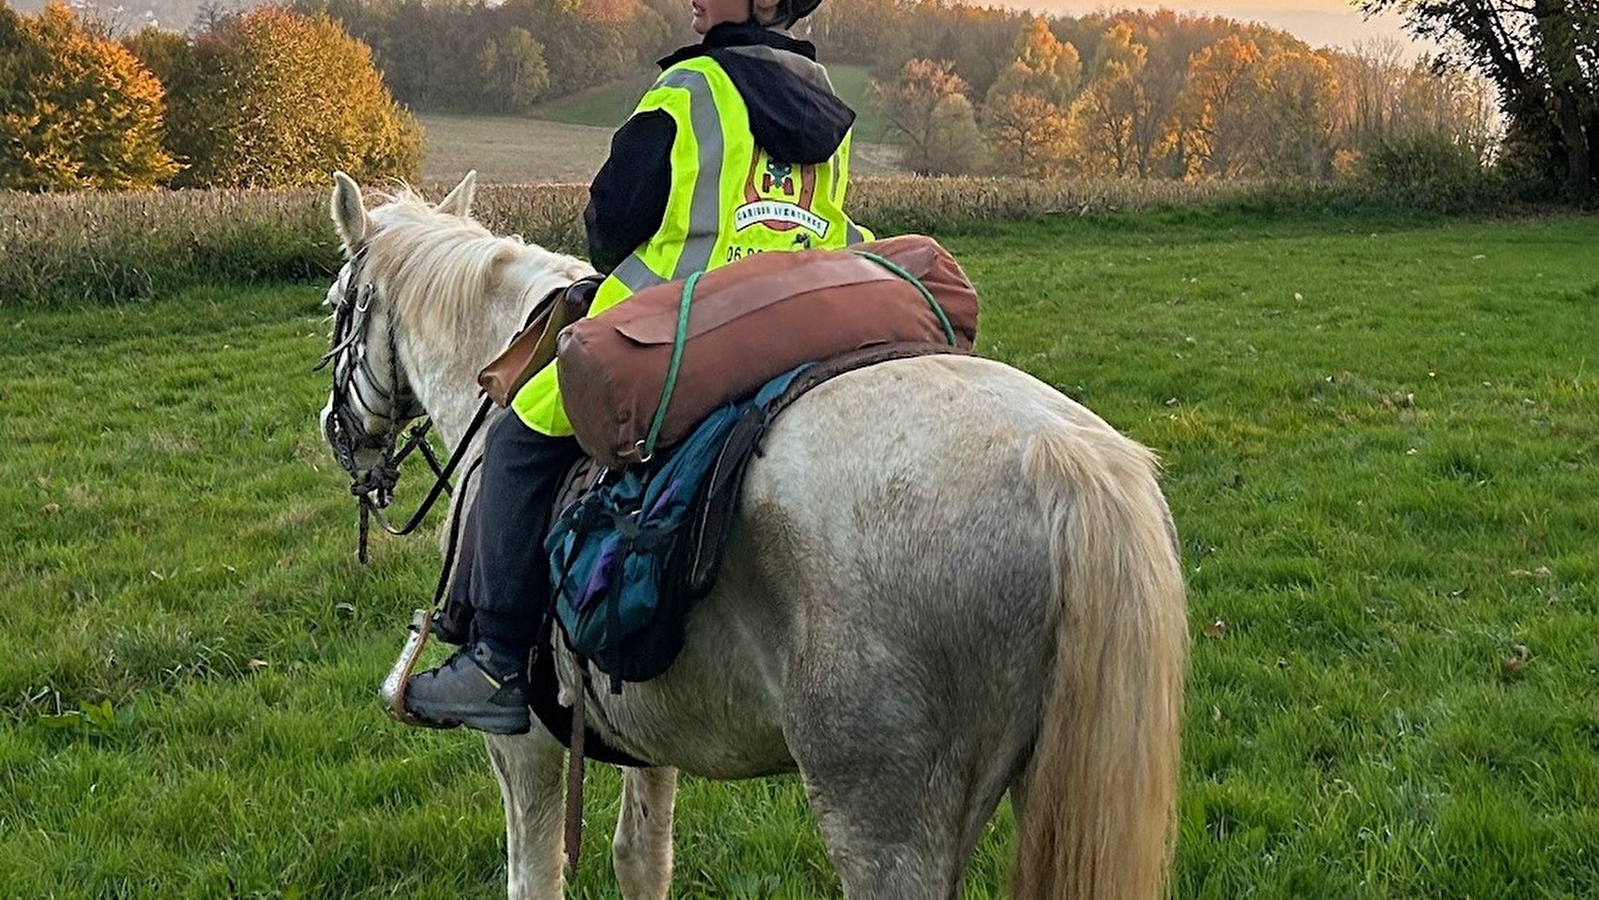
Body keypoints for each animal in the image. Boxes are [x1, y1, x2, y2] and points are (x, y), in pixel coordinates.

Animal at [315, 171, 1189, 900]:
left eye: (333, 305)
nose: (336, 431)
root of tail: (1057, 458)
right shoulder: (645, 741)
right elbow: (641, 860)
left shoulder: (523, 748)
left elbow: (534, 880)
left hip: (885, 827)